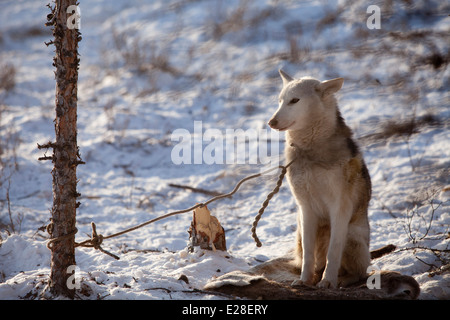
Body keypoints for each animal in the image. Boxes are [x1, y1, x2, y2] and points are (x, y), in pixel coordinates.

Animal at [268, 69, 372, 288]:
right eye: (280, 101)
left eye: (294, 100)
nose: (271, 122)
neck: (310, 150)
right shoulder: (305, 208)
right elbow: (309, 255)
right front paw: (304, 281)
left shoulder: (339, 207)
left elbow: (333, 253)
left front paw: (328, 282)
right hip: (300, 237)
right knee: (314, 261)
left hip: (352, 237)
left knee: (359, 272)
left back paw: (341, 279)